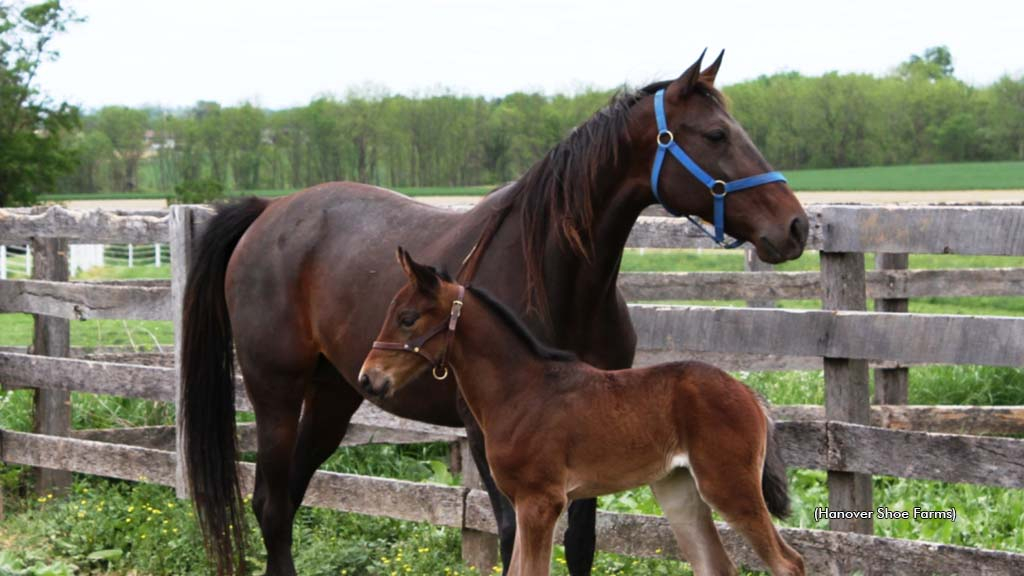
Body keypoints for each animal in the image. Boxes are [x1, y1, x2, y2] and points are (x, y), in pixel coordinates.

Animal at [362, 248, 806, 573]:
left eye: (407, 318)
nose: (369, 379)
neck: (519, 391)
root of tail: (749, 393)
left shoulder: (541, 501)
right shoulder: (522, 503)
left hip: (730, 487)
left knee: (789, 563)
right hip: (679, 490)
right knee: (716, 565)